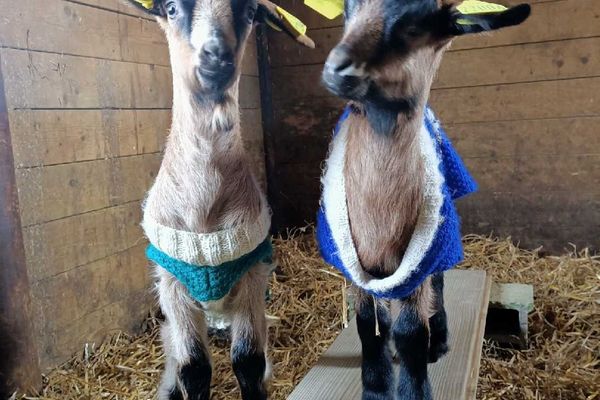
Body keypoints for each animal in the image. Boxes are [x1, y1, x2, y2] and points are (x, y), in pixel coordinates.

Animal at [318, 1, 528, 398]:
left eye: (416, 26)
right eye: (348, 10)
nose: (338, 69)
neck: (379, 218)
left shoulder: (420, 260)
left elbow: (410, 332)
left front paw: (414, 386)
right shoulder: (353, 265)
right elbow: (367, 325)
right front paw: (376, 386)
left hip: (439, 236)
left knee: (440, 284)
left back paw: (440, 341)